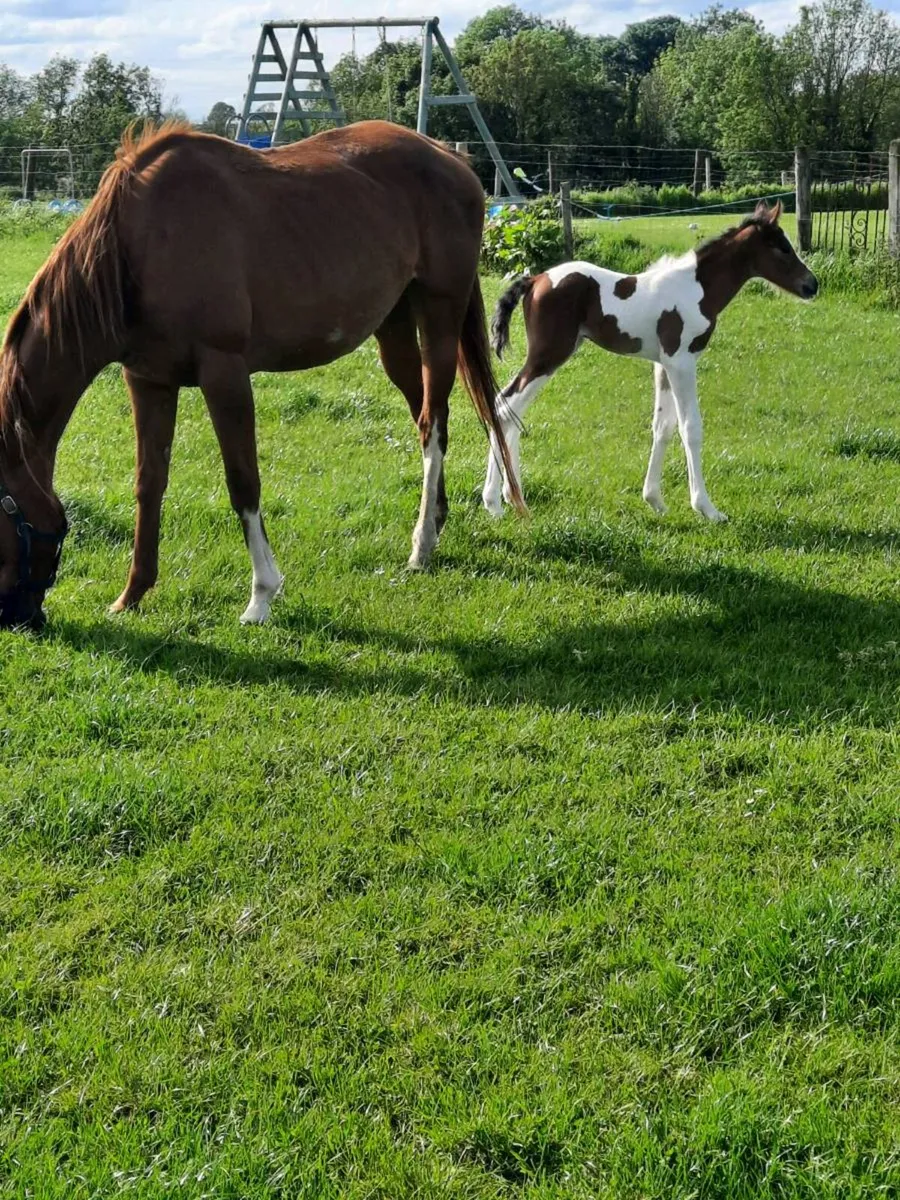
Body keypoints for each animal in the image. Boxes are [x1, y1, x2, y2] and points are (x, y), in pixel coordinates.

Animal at [0, 120, 524, 631]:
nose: (20, 621)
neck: (139, 245)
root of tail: (449, 157)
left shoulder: (224, 372)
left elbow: (243, 482)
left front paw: (261, 595)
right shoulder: (147, 380)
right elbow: (149, 483)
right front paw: (132, 594)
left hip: (440, 314)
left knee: (433, 424)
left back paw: (420, 546)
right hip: (393, 327)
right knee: (426, 416)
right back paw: (435, 522)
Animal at [482, 201, 817, 522]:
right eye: (781, 247)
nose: (812, 285)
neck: (697, 288)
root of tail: (536, 279)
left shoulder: (663, 365)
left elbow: (663, 426)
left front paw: (654, 499)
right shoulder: (682, 361)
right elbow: (690, 428)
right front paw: (706, 508)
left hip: (551, 357)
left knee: (510, 408)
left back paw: (512, 497)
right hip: (548, 355)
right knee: (505, 407)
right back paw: (494, 503)